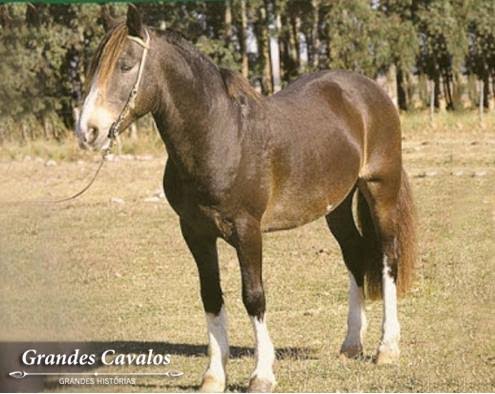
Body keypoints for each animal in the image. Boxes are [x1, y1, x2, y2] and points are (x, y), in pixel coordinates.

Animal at [76, 4, 418, 392]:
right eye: (94, 66)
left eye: (126, 64)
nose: (88, 131)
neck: (221, 135)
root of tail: (371, 91)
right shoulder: (195, 232)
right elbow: (211, 296)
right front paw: (213, 375)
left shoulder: (247, 230)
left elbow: (253, 296)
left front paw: (262, 373)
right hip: (337, 205)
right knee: (355, 254)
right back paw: (351, 344)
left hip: (380, 189)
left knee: (387, 257)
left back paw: (386, 348)